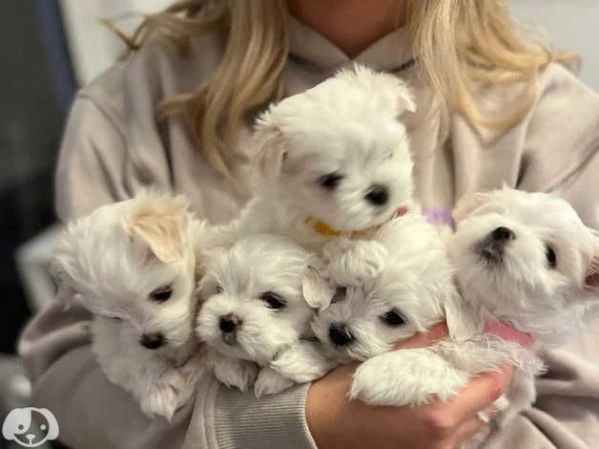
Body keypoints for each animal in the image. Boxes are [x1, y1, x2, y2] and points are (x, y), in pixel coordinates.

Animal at [49, 193, 204, 420]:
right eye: (116, 318)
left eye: (163, 293)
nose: (151, 341)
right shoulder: (109, 343)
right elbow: (133, 357)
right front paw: (161, 388)